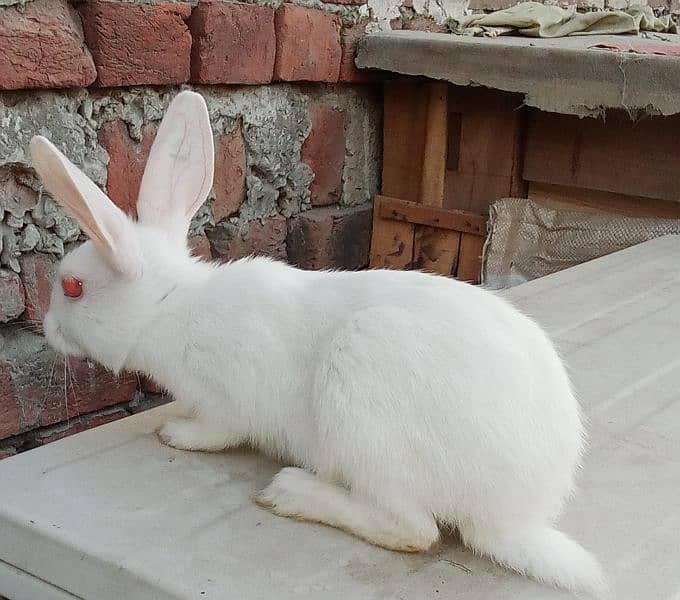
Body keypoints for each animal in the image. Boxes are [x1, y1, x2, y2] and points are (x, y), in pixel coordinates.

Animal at [31, 91, 604, 596]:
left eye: (73, 287)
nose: (48, 329)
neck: (169, 306)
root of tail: (513, 517)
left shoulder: (228, 400)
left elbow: (217, 430)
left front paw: (176, 434)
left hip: (366, 411)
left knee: (411, 529)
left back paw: (291, 493)